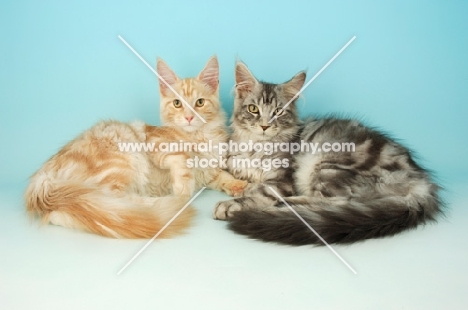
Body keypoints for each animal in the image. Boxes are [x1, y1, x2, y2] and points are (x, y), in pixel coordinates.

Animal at [24, 55, 249, 239]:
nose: (189, 118)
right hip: (120, 161)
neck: (200, 137)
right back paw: (165, 205)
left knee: (68, 212)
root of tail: (42, 176)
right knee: (109, 202)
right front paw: (183, 190)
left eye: (200, 102)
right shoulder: (157, 144)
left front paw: (239, 185)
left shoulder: (208, 171)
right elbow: (183, 160)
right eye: (177, 103)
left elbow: (222, 176)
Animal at [213, 60, 442, 245]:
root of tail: (421, 180)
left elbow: (261, 191)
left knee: (337, 202)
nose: (264, 126)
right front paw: (242, 188)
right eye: (253, 109)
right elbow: (242, 180)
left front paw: (232, 204)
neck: (256, 146)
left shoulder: (282, 180)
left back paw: (281, 206)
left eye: (278, 112)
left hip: (329, 165)